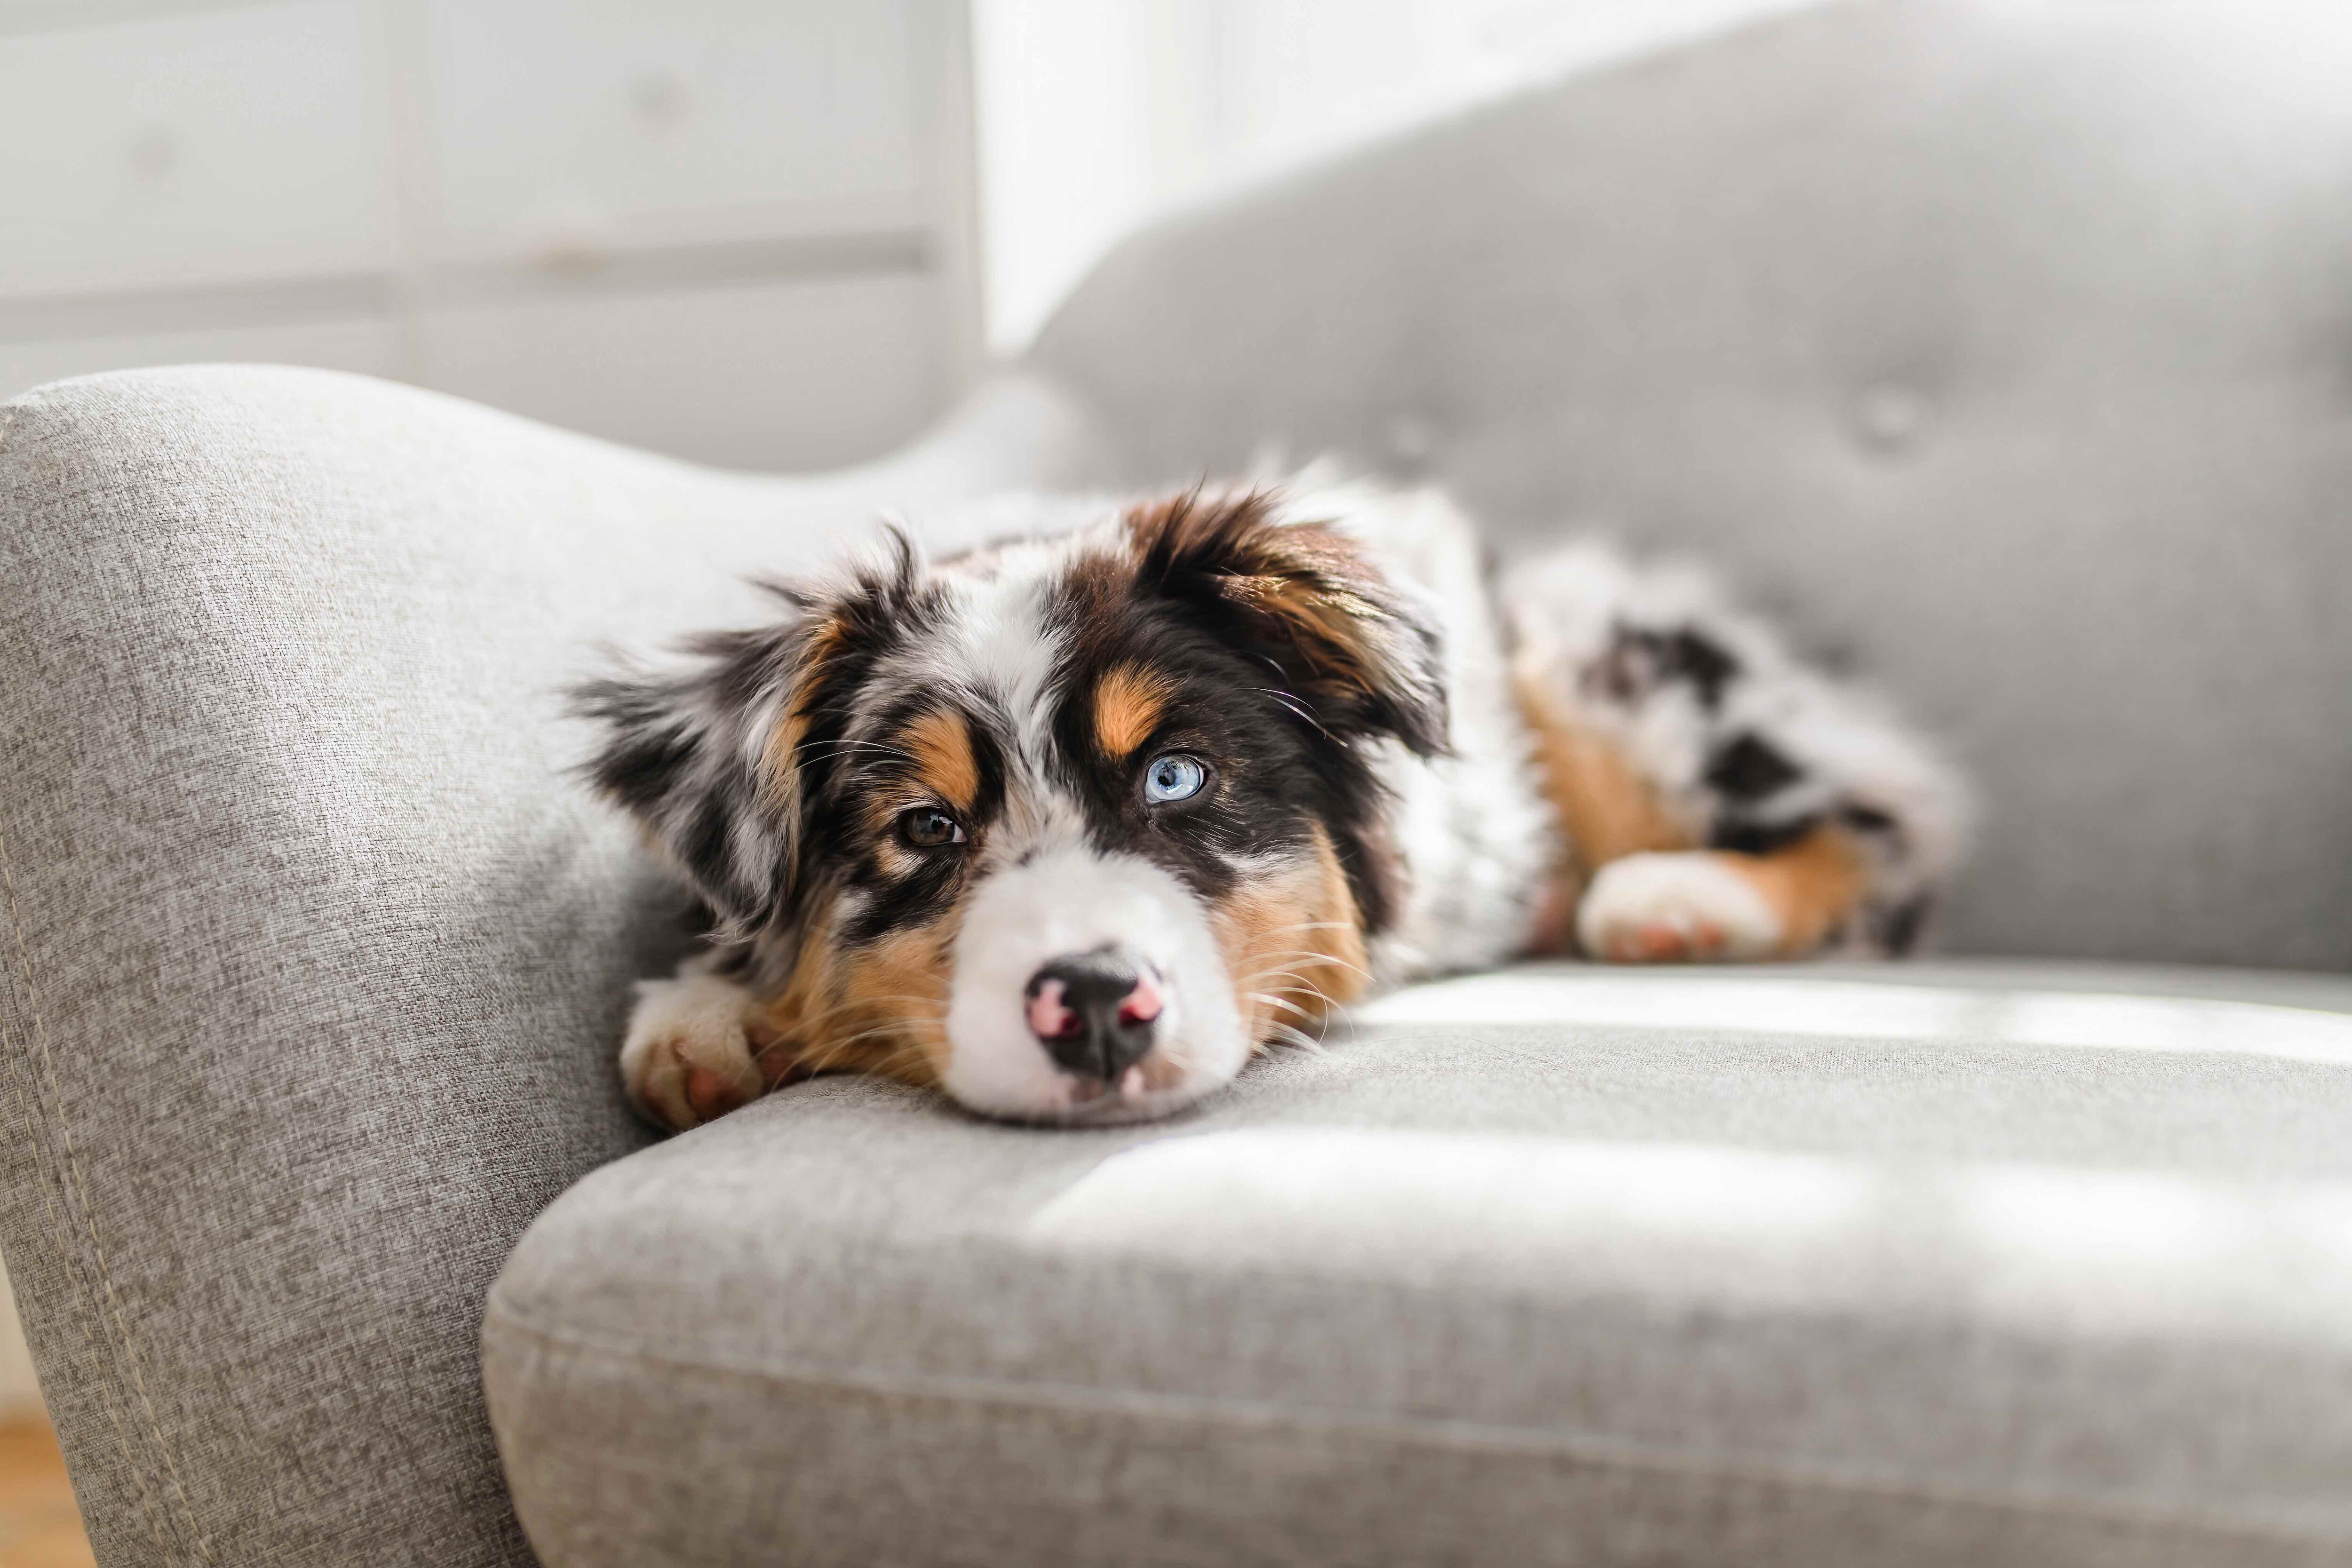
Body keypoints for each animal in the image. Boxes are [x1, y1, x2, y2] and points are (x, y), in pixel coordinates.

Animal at [574, 479, 1966, 1128]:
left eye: (1176, 775)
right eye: (927, 826)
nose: (1096, 1004)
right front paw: (708, 1016)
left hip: (1592, 648)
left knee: (1892, 828)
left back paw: (1671, 898)